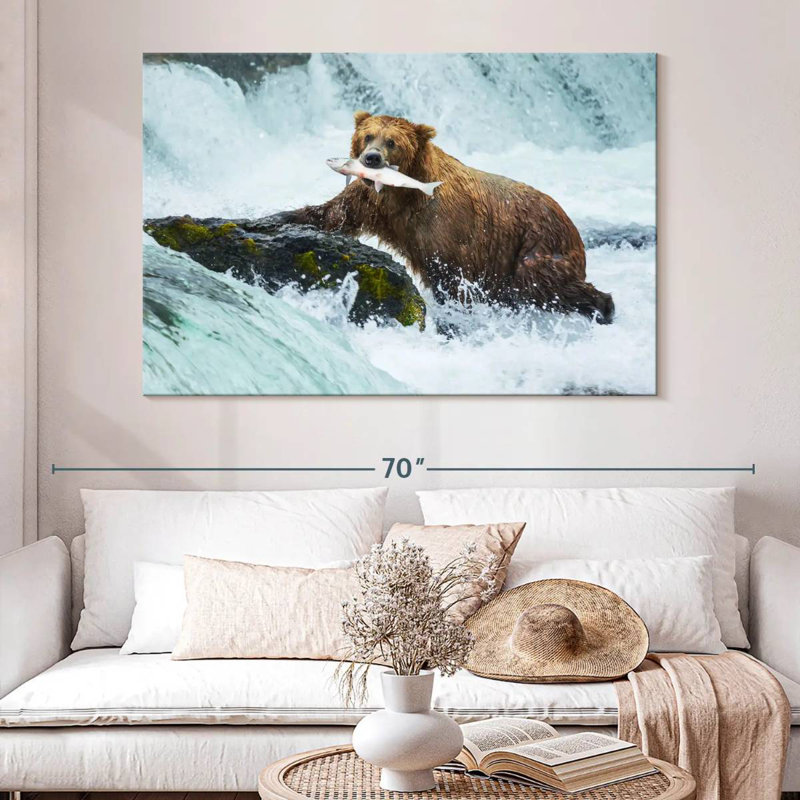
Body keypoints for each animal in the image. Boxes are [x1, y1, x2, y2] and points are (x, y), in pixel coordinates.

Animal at [282, 111, 614, 323]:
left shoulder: (446, 225)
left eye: (392, 142)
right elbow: (334, 214)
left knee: (541, 284)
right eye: (368, 136)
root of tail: (569, 221)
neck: (403, 193)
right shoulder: (372, 202)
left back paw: (604, 307)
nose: (371, 158)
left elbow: (451, 274)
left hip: (536, 244)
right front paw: (281, 216)